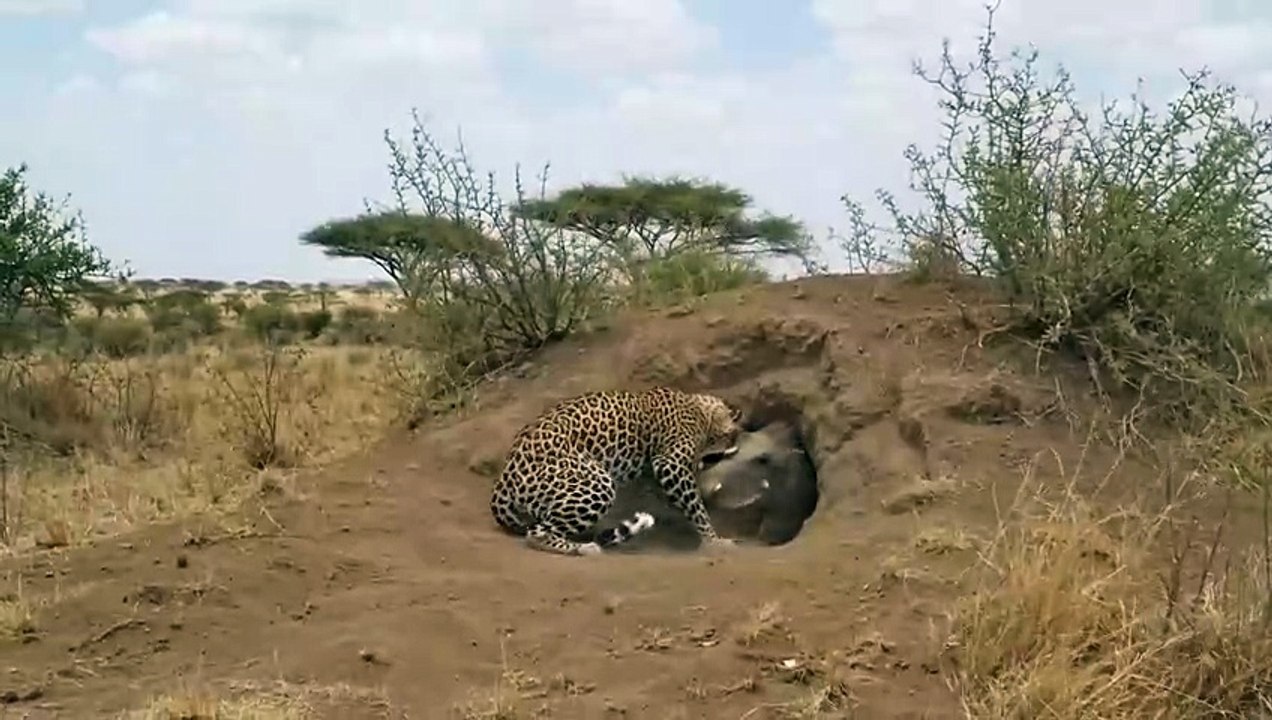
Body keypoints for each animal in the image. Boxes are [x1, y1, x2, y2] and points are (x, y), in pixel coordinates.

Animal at [490, 386, 744, 557]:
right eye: (731, 438)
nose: (734, 447)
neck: (701, 410)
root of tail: (503, 480)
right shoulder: (670, 463)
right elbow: (696, 508)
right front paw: (714, 540)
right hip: (596, 483)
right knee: (536, 533)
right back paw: (585, 548)